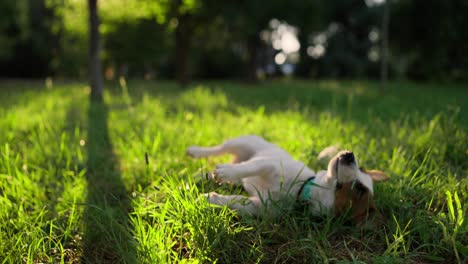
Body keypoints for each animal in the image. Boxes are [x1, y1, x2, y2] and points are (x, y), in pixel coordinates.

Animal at [186, 135, 388, 224]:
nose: (350, 155)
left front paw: (209, 198)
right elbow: (251, 167)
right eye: (361, 169)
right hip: (243, 142)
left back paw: (196, 178)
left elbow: (237, 201)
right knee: (218, 149)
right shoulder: (270, 164)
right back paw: (195, 152)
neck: (301, 189)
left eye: (359, 189)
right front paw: (225, 172)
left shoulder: (260, 206)